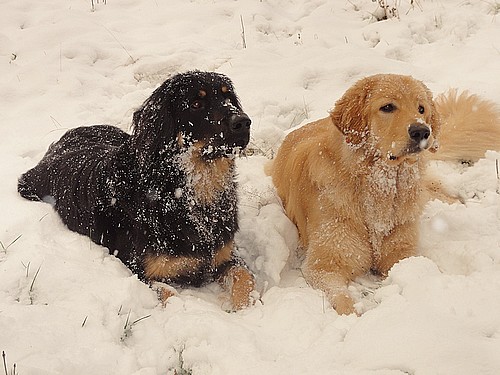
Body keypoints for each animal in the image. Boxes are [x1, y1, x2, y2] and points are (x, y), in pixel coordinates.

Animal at [18, 71, 256, 312]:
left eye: (228, 97)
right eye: (196, 104)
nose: (243, 122)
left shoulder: (225, 255)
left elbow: (244, 277)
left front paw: (245, 308)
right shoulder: (141, 271)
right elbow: (170, 294)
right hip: (27, 186)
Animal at [272, 73, 498, 314]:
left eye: (421, 108)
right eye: (388, 107)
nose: (422, 131)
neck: (379, 188)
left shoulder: (401, 255)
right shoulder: (324, 265)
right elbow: (342, 299)